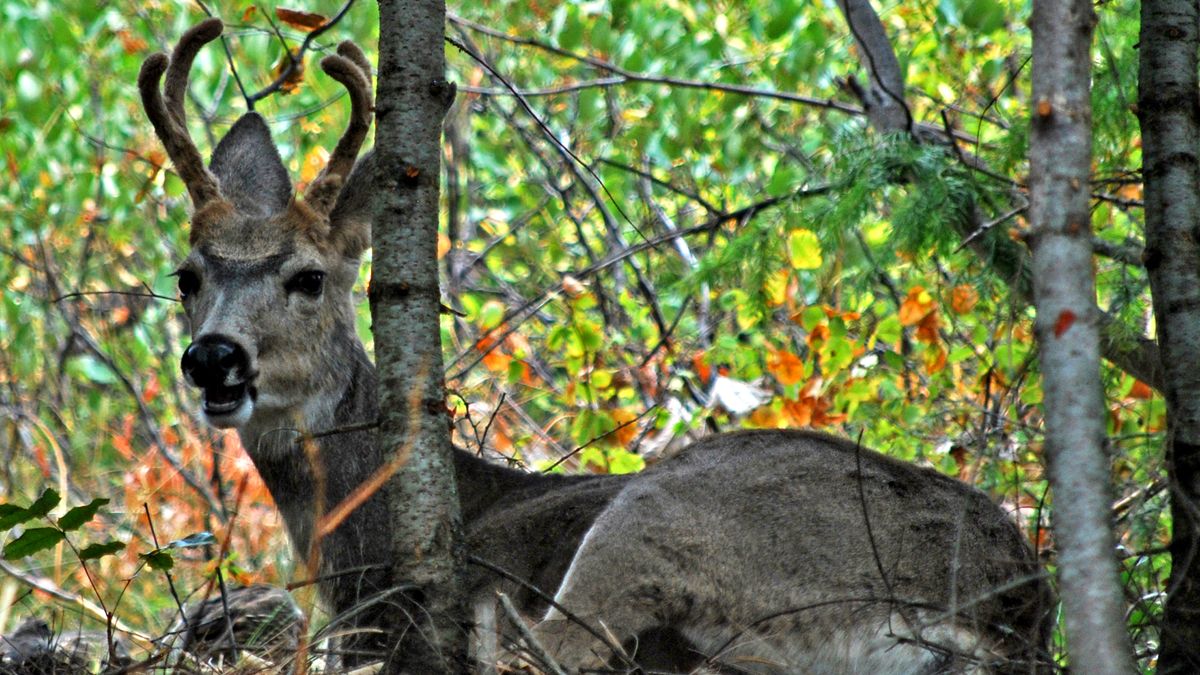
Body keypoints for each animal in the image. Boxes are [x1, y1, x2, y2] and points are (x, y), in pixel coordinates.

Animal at [145, 18, 1056, 667]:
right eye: (186, 275)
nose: (215, 358)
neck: (351, 538)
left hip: (659, 517)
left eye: (307, 276)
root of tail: (1012, 610)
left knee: (544, 647)